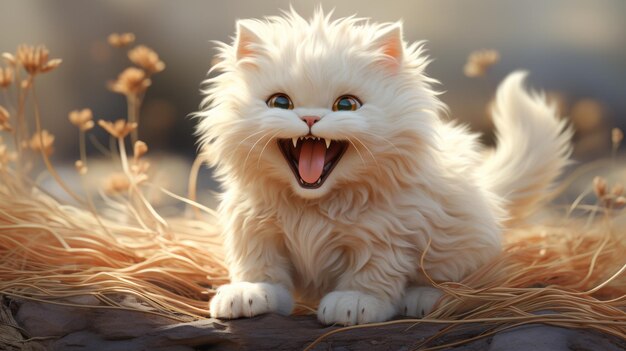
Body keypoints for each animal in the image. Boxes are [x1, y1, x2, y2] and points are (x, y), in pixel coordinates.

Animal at [196, 8, 572, 328]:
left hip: (459, 239)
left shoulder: (389, 233)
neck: (312, 207)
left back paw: (423, 298)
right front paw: (247, 294)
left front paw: (353, 303)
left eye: (346, 105)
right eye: (280, 102)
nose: (310, 118)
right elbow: (261, 271)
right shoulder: (254, 228)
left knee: (458, 281)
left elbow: (371, 275)